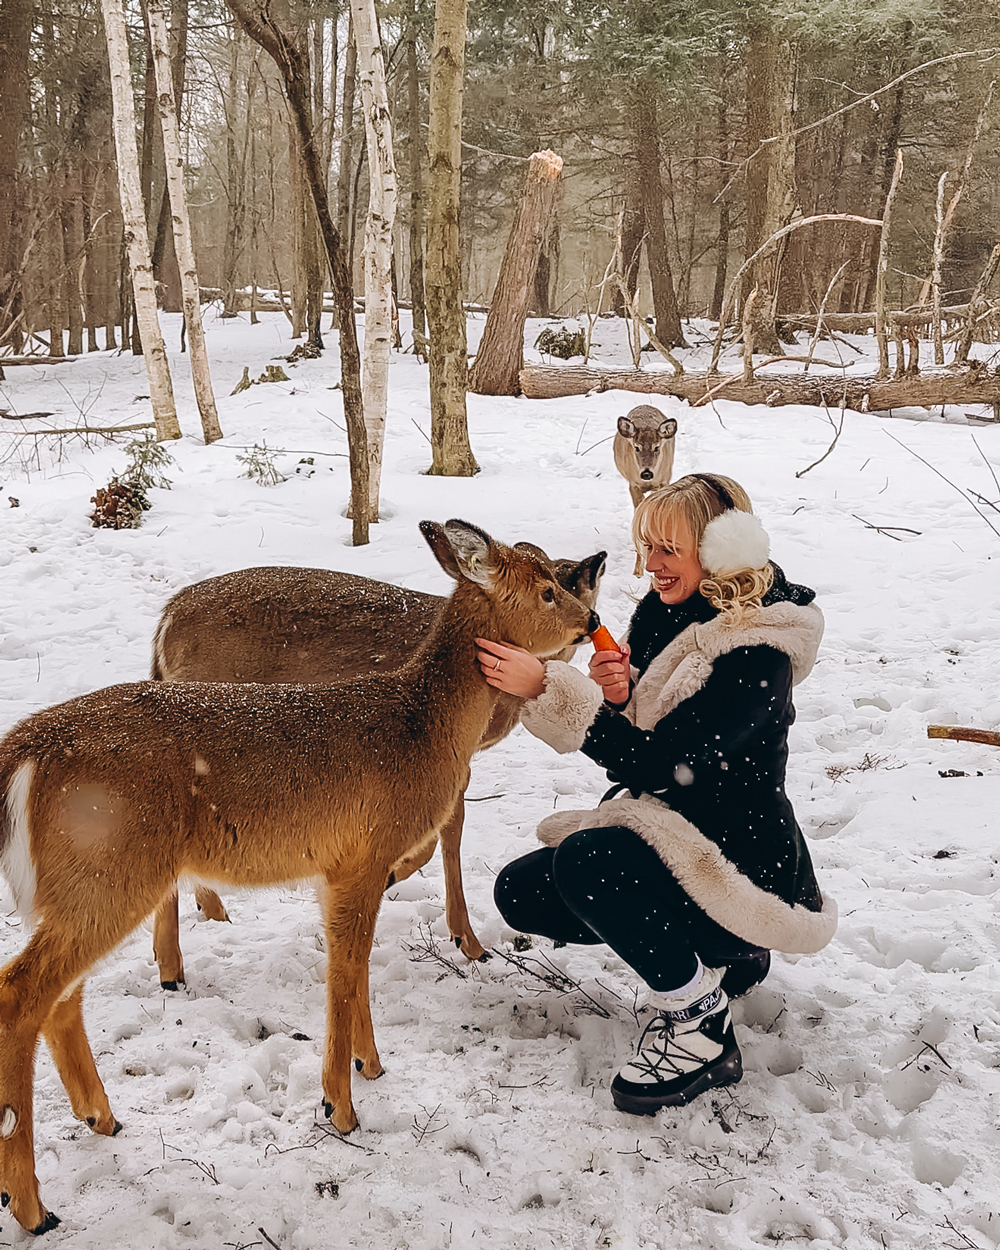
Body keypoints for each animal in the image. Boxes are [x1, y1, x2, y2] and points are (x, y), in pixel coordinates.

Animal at [147, 543, 606, 983]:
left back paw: (203, 919)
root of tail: (166, 618)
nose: (592, 621)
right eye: (553, 589)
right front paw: (465, 937)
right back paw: (174, 963)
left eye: (573, 581)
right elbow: (448, 826)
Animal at [613, 404, 679, 573]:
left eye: (657, 447)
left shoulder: (664, 482)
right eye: (636, 447)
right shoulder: (634, 485)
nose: (646, 473)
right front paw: (638, 571)